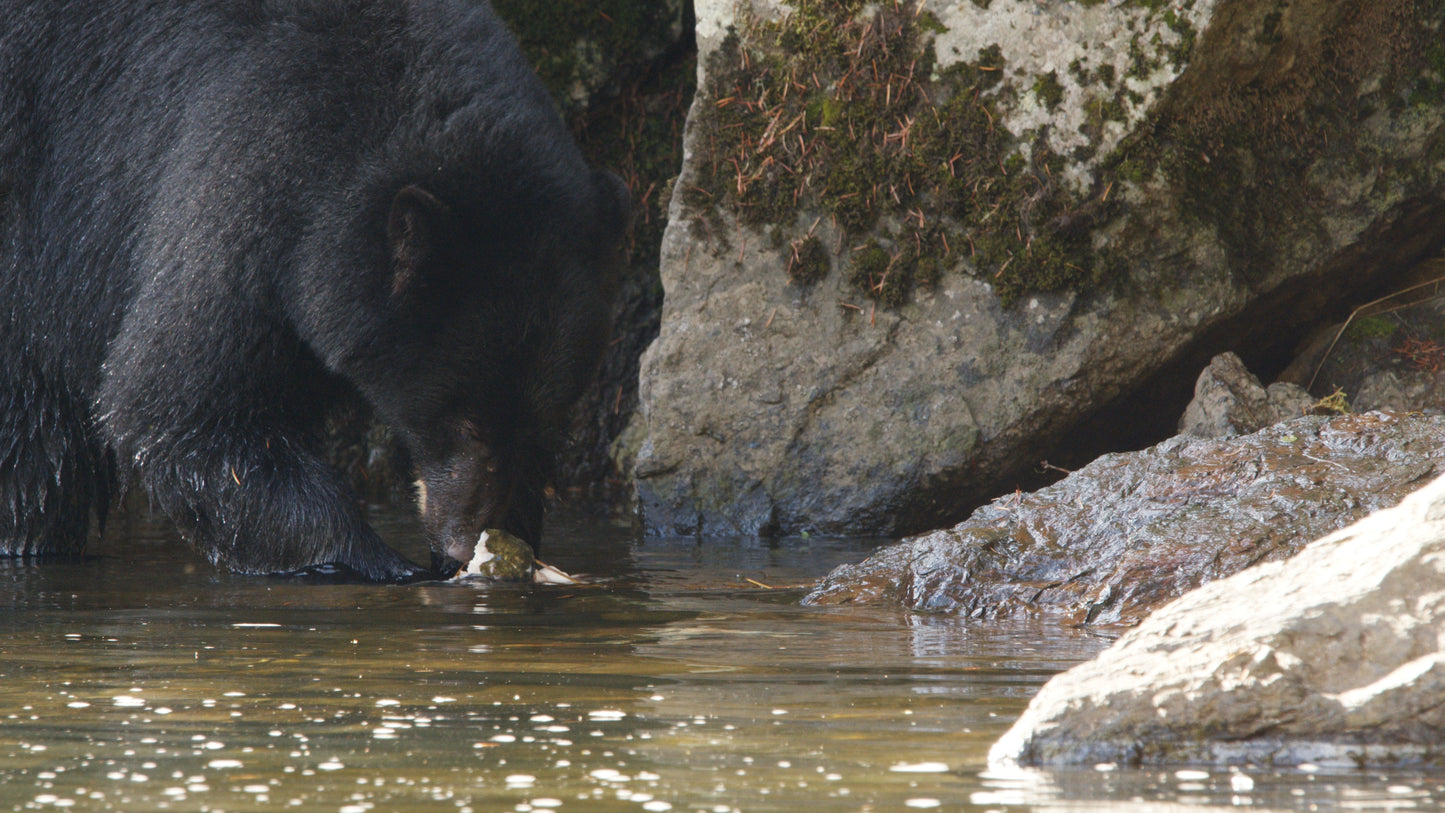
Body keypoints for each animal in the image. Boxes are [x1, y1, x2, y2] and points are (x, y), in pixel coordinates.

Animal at [2, 3, 630, 583]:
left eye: (544, 421)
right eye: (460, 418)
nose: (463, 544)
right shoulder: (248, 180)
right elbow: (180, 405)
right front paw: (381, 563)